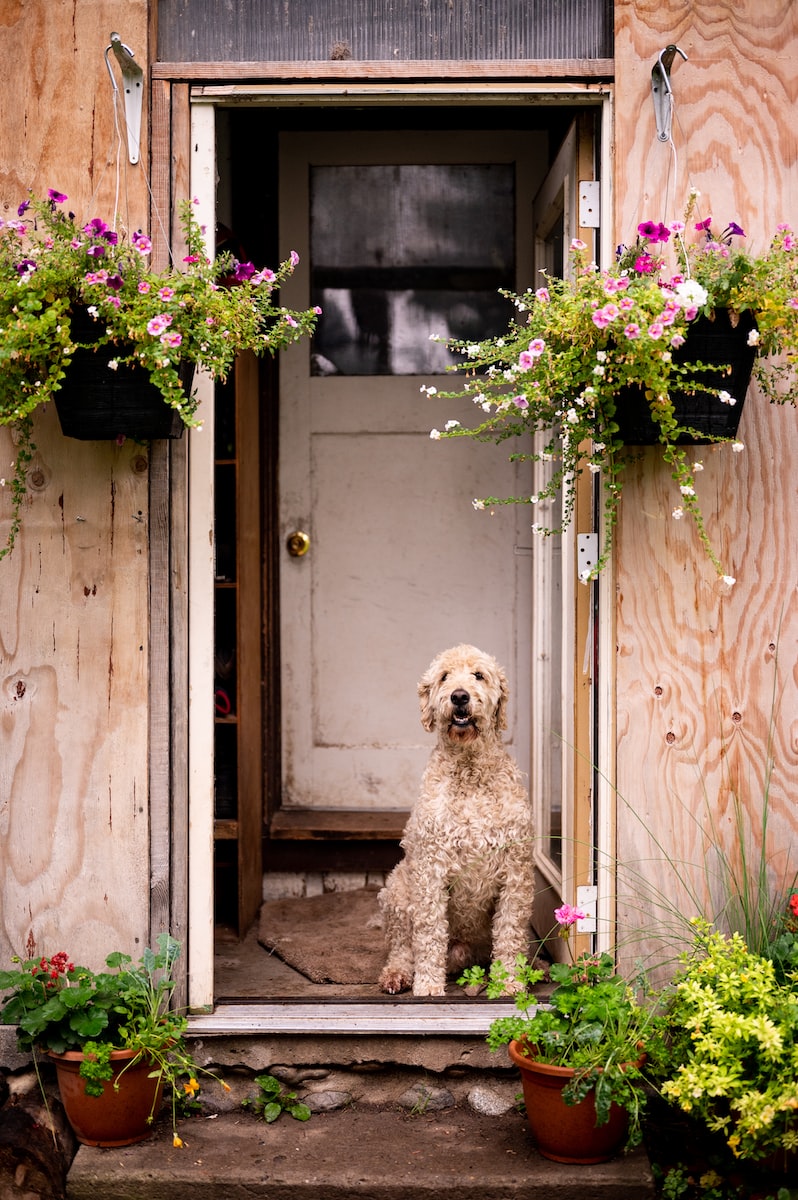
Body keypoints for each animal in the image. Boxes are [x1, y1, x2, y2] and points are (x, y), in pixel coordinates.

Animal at [374, 643, 535, 998]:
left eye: (479, 675)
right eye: (444, 676)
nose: (459, 696)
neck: (470, 768)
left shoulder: (516, 872)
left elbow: (510, 931)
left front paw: (510, 981)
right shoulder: (430, 870)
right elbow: (430, 931)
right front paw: (428, 985)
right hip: (397, 888)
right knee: (402, 947)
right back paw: (398, 974)